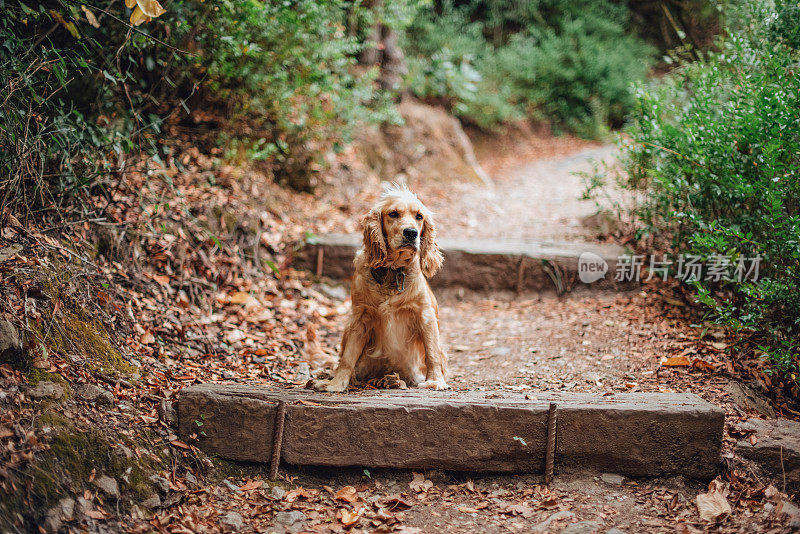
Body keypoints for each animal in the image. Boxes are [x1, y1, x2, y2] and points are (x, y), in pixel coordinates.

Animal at [312, 185, 450, 394]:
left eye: (419, 217)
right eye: (393, 214)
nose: (411, 233)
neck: (392, 272)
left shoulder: (424, 314)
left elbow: (432, 352)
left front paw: (435, 381)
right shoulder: (360, 317)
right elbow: (347, 357)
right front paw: (336, 384)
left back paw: (391, 380)